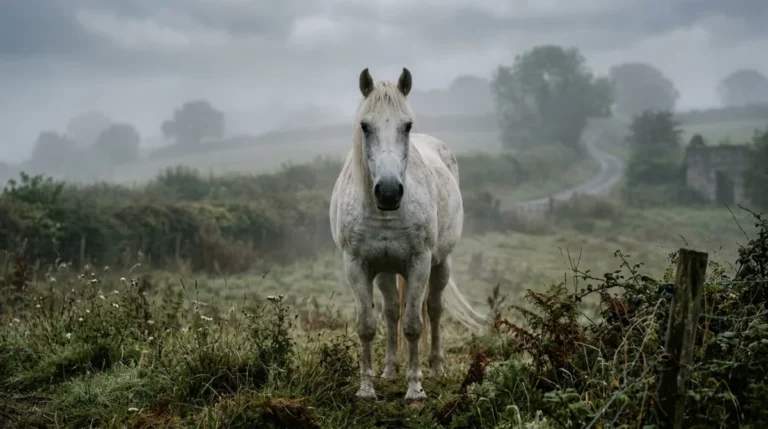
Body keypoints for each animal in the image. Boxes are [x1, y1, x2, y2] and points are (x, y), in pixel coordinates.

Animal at [329, 67, 485, 403]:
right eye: (365, 126)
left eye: (407, 125)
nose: (388, 192)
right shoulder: (356, 265)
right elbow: (367, 325)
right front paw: (366, 389)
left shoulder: (419, 262)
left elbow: (414, 324)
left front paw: (415, 390)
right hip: (386, 270)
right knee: (390, 313)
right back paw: (389, 370)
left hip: (441, 264)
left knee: (435, 309)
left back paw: (437, 368)